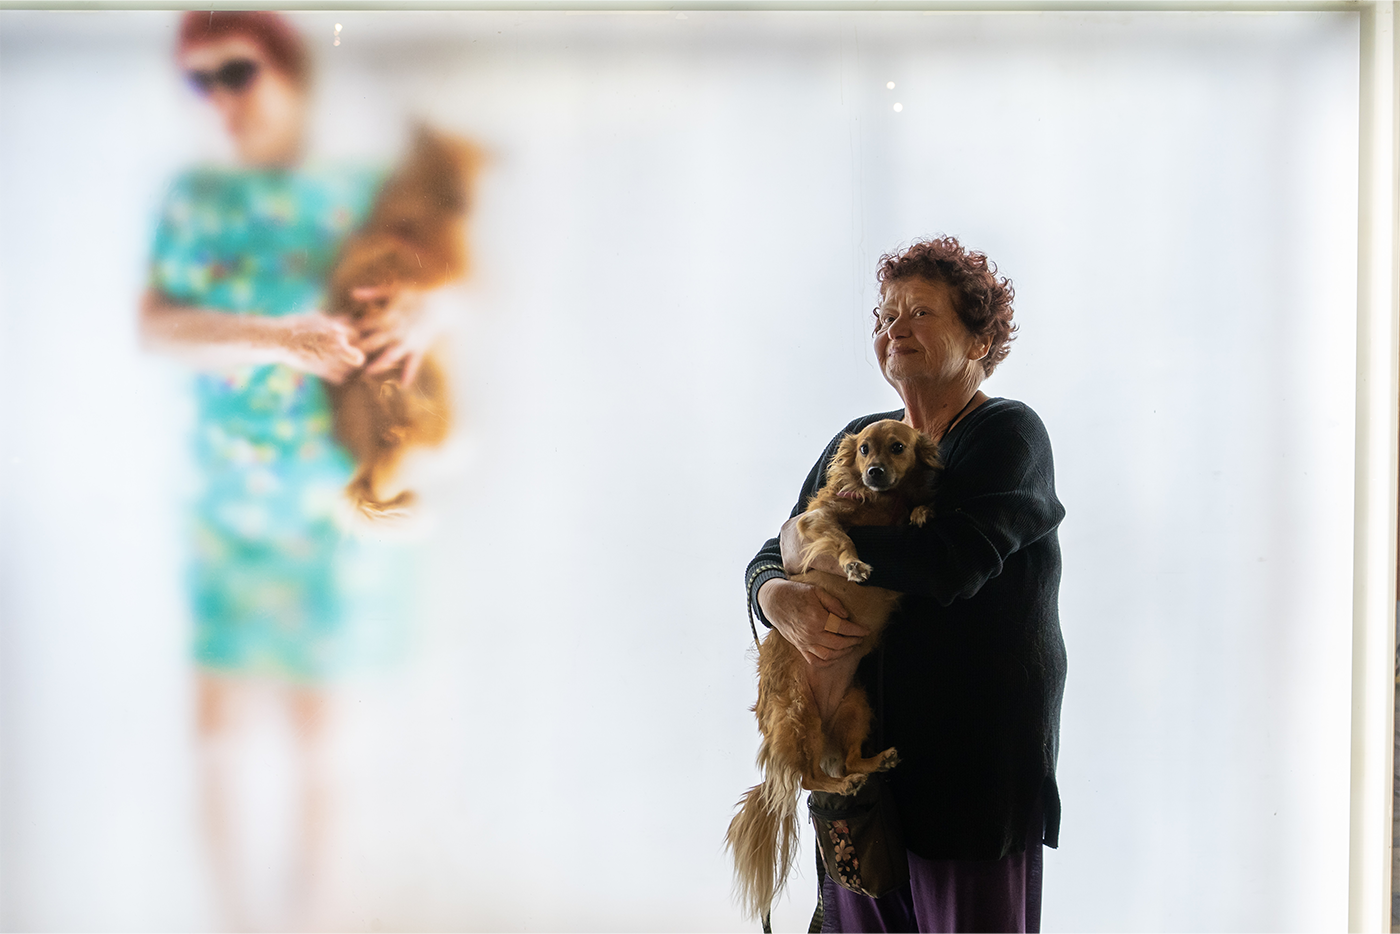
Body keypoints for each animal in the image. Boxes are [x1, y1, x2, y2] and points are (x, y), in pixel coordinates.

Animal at [726, 419, 940, 920]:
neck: (880, 502)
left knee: (847, 758)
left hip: (855, 707)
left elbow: (914, 505)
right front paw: (855, 564)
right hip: (797, 713)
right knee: (807, 777)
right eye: (863, 450)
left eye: (898, 447)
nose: (875, 472)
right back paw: (844, 784)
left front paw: (922, 509)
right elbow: (842, 540)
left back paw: (874, 763)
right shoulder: (819, 520)